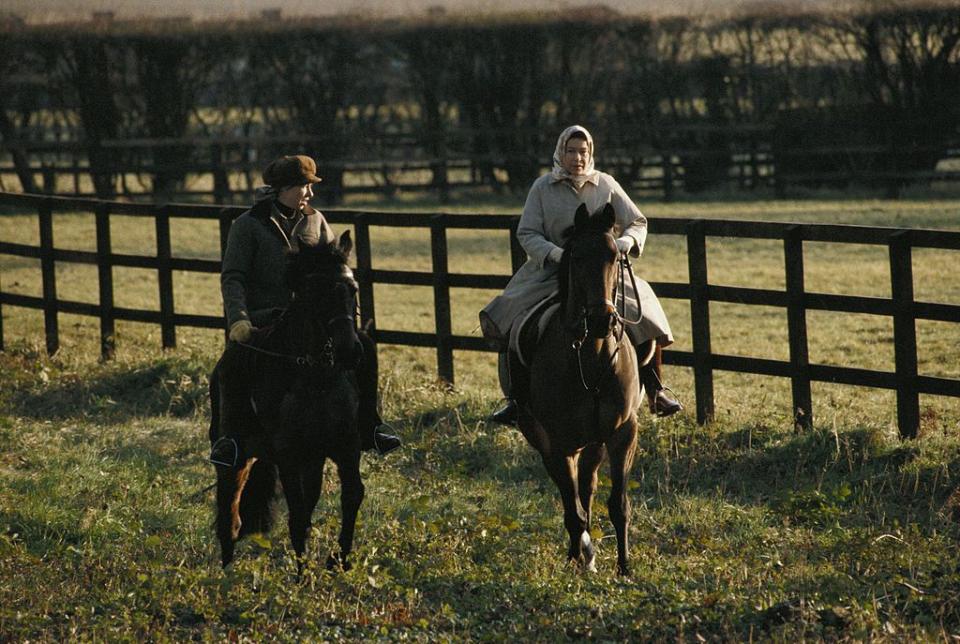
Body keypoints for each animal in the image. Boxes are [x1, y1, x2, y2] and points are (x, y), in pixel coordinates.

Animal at [210, 230, 364, 568]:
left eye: (352, 289)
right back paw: (225, 568)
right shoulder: (289, 456)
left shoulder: (344, 448)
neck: (316, 378)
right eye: (316, 290)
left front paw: (339, 560)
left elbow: (351, 496)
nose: (349, 350)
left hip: (311, 460)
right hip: (236, 452)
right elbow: (297, 516)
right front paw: (302, 574)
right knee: (230, 508)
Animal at [516, 201, 644, 572]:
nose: (602, 319)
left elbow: (618, 504)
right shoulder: (558, 441)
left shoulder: (622, 433)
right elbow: (572, 509)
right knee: (570, 494)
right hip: (547, 440)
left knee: (586, 487)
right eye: (575, 257)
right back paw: (581, 552)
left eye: (615, 256)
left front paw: (625, 568)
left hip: (593, 442)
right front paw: (577, 556)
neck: (593, 356)